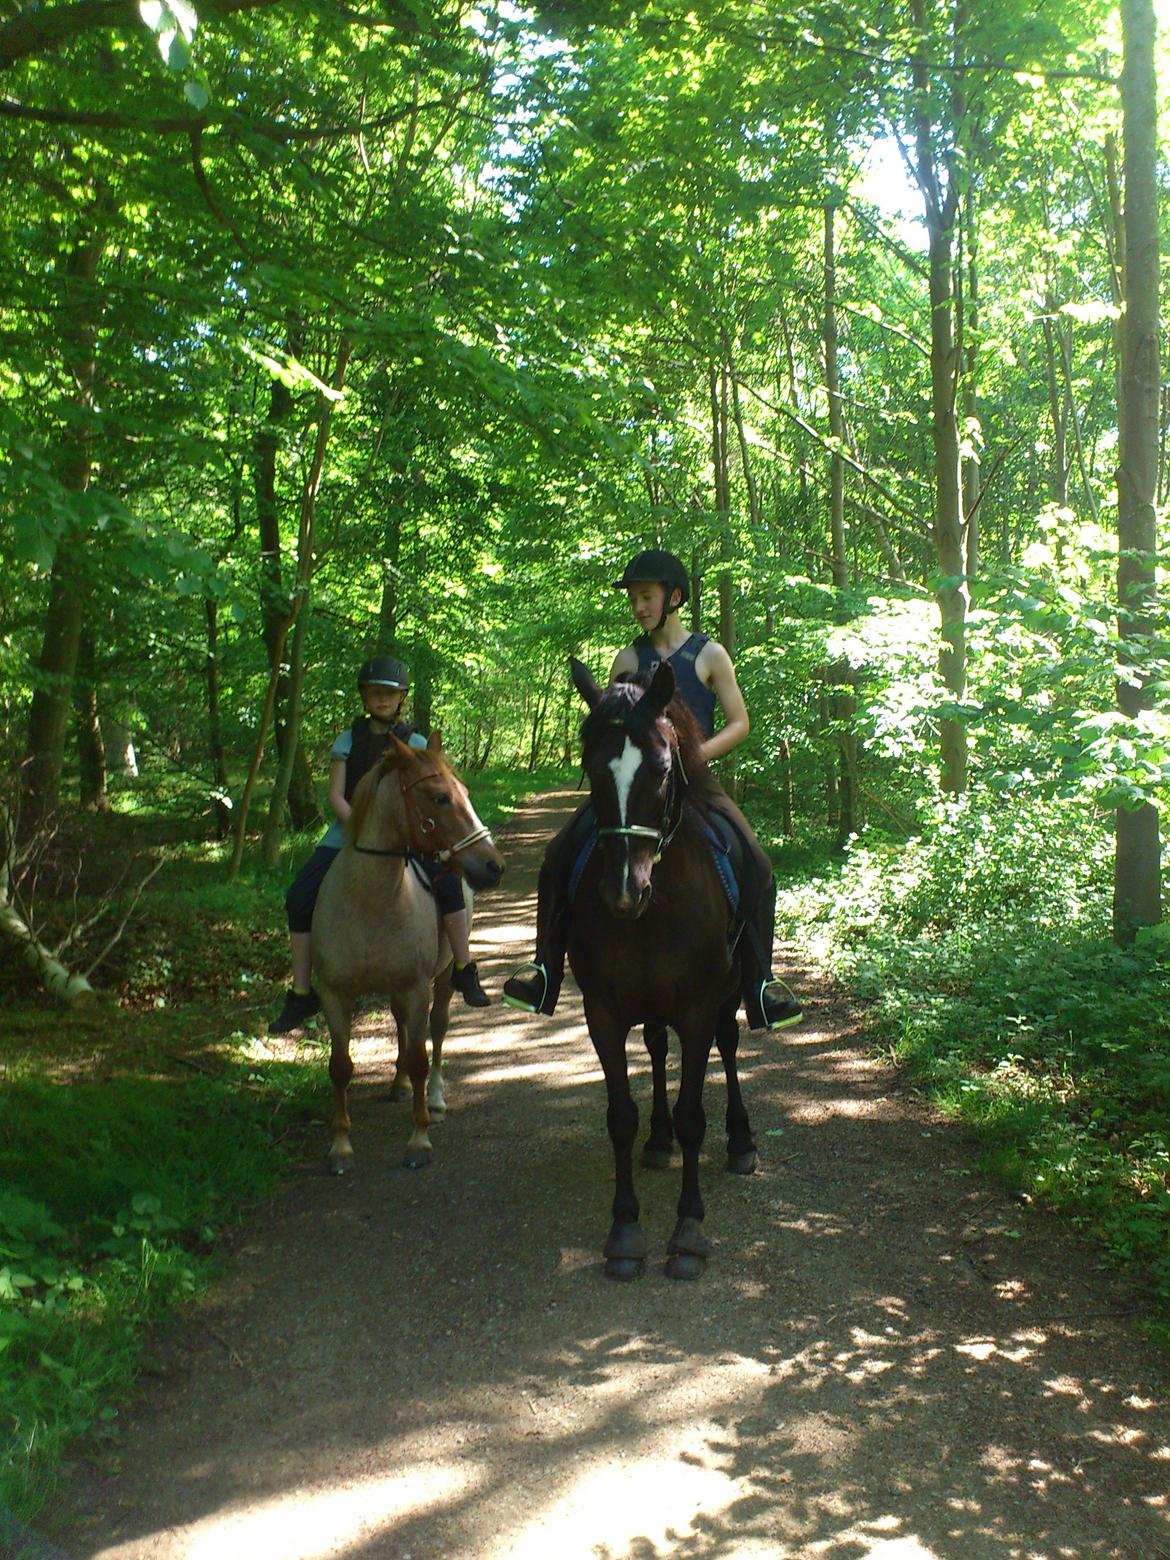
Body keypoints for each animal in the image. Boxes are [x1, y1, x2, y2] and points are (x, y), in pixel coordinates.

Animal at [313, 730, 505, 1173]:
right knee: (400, 1025)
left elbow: (420, 1057)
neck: (370, 901)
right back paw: (398, 1083)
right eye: (440, 797)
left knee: (437, 1030)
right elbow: (340, 1067)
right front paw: (340, 1147)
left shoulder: (417, 988)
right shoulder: (335, 995)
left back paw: (434, 1099)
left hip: (444, 976)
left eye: (465, 792)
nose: (493, 865)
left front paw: (419, 1140)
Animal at [567, 658, 761, 1279]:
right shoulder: (602, 1011)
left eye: (659, 769)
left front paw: (689, 1231)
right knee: (654, 1048)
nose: (624, 892)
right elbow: (620, 1116)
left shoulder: (698, 1009)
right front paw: (626, 1230)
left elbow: (694, 1114)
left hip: (728, 996)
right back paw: (657, 1141)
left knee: (729, 1046)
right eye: (591, 767)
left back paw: (742, 1142)